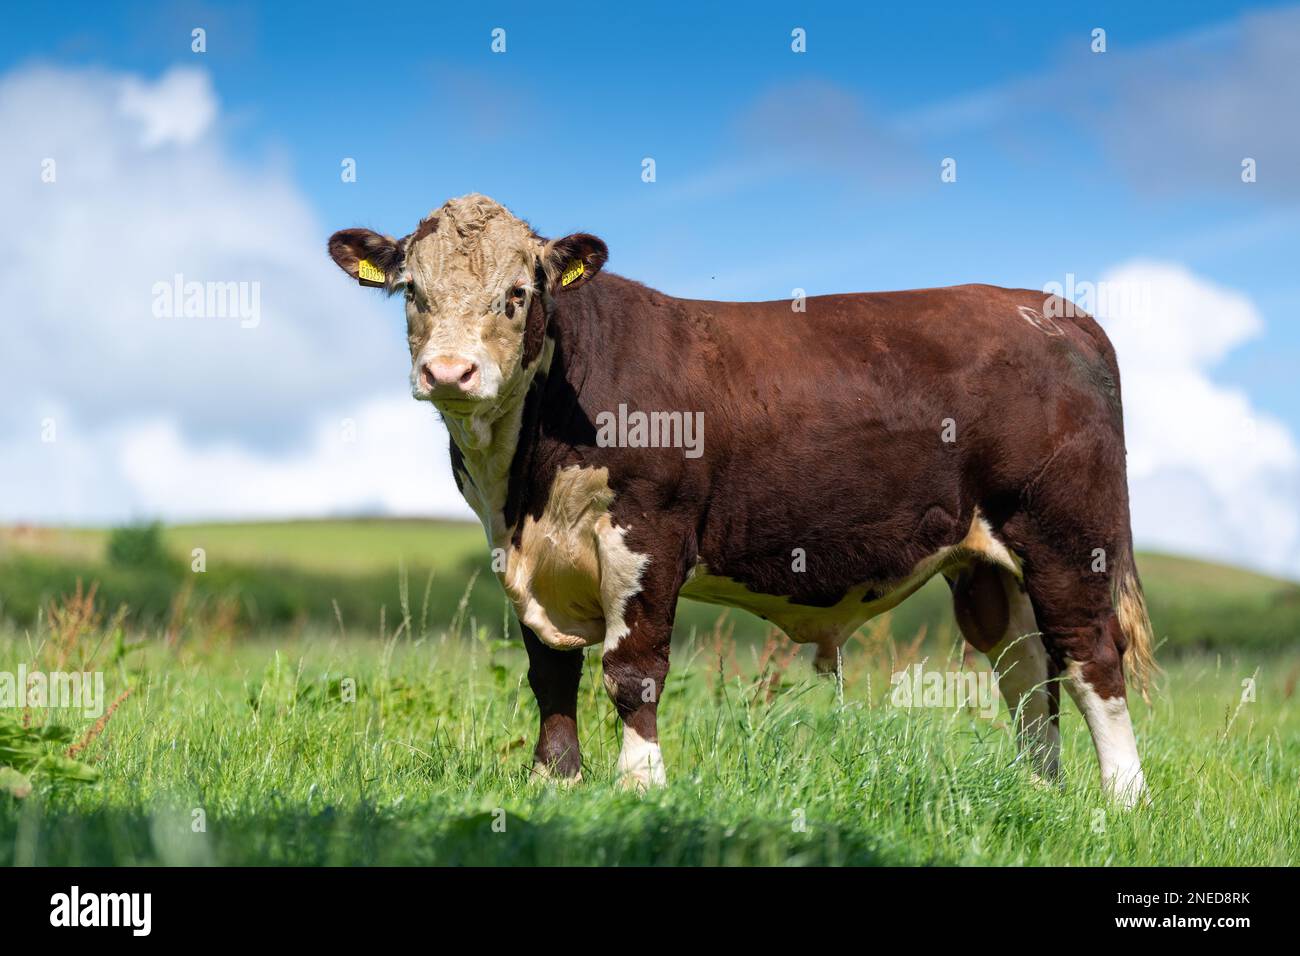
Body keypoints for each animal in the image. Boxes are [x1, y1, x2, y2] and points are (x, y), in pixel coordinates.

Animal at [328, 193, 1156, 807]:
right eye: (414, 293)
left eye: (516, 294)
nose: (449, 372)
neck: (527, 476)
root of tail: (1054, 310)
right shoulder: (524, 558)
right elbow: (551, 673)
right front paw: (554, 782)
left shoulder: (649, 535)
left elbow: (632, 669)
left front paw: (640, 784)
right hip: (987, 563)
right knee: (1026, 673)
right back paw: (1038, 792)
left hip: (1065, 537)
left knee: (1090, 657)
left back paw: (1123, 800)